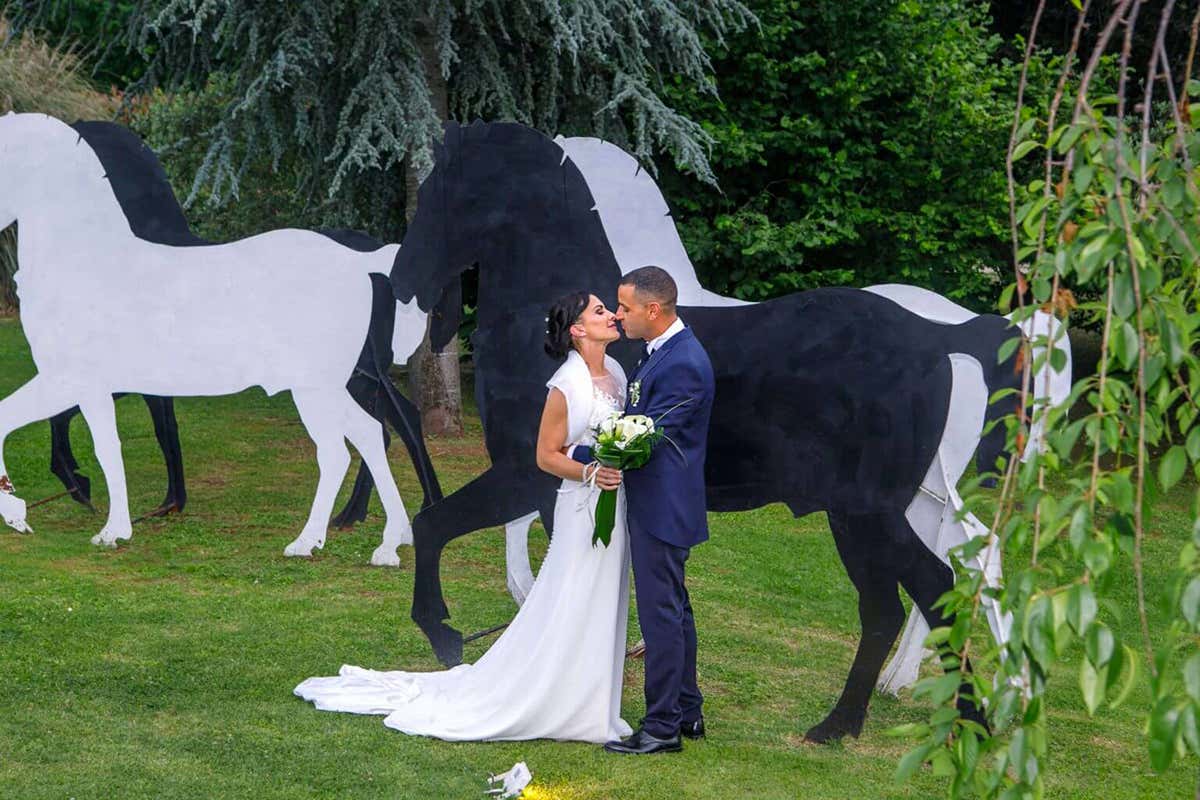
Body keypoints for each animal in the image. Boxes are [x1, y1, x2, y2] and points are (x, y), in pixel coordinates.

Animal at [0, 112, 410, 565]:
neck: (87, 259)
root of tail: (356, 261)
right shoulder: (87, 385)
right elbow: (94, 442)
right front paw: (96, 525)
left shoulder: (73, 381)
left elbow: (86, 442)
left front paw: (61, 519)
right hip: (328, 388)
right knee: (368, 436)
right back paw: (383, 544)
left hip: (316, 389)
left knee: (340, 450)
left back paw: (310, 541)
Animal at [390, 120, 1023, 741]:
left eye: (448, 186)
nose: (402, 281)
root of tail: (934, 335)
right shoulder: (545, 484)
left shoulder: (525, 473)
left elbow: (433, 524)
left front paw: (442, 634)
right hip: (873, 515)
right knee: (897, 604)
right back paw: (874, 721)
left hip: (867, 514)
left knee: (927, 590)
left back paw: (912, 720)